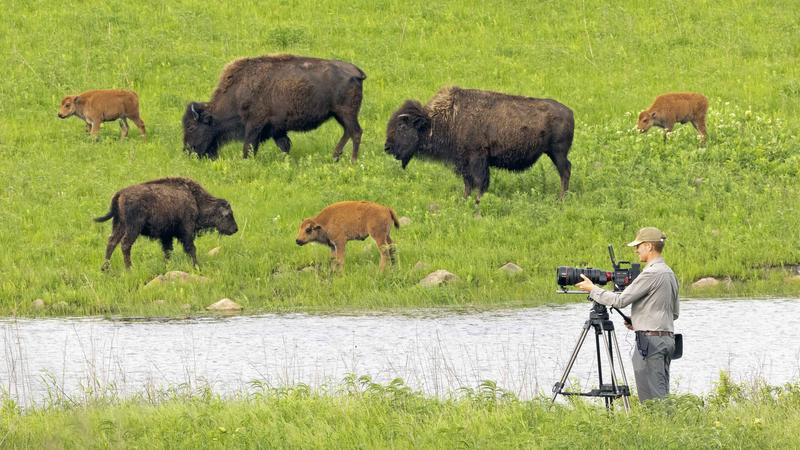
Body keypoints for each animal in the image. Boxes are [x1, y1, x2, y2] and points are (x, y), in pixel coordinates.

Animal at [94, 177, 238, 270]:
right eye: (228, 214)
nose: (235, 229)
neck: (195, 200)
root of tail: (121, 193)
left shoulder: (166, 236)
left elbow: (168, 251)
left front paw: (166, 266)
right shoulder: (187, 231)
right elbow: (191, 248)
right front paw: (196, 266)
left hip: (119, 225)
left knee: (112, 242)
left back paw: (105, 268)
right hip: (133, 228)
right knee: (125, 244)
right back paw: (129, 268)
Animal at [183, 54, 366, 161]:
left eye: (191, 127)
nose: (187, 151)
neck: (237, 92)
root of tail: (357, 72)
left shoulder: (254, 124)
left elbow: (248, 146)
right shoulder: (277, 129)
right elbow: (284, 146)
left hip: (346, 113)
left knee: (356, 132)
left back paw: (352, 161)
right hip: (338, 114)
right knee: (348, 132)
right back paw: (335, 156)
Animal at [385, 86, 574, 203]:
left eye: (402, 126)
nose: (387, 147)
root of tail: (569, 112)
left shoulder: (477, 158)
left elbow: (479, 181)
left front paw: (477, 200)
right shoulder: (463, 162)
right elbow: (468, 182)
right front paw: (464, 199)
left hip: (558, 152)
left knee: (565, 171)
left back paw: (561, 199)